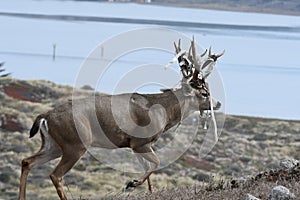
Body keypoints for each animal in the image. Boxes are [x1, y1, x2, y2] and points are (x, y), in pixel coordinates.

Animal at [17, 38, 224, 200]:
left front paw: (146, 189)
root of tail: (45, 116)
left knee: (27, 162)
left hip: (54, 145)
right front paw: (131, 183)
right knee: (55, 175)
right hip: (75, 143)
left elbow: (149, 167)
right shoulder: (139, 142)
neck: (163, 111)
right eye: (205, 93)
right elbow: (156, 163)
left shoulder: (135, 145)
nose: (218, 103)